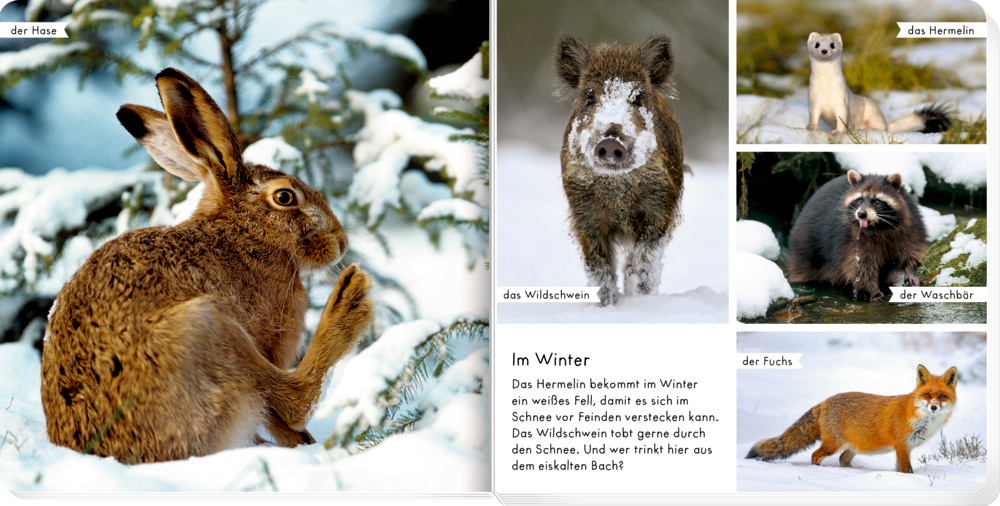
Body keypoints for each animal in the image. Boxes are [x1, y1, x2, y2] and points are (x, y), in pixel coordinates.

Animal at [40, 68, 374, 463]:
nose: (341, 243)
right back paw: (350, 302)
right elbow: (281, 410)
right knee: (293, 396)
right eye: (284, 197)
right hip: (209, 328)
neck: (247, 232)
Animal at [746, 364, 957, 474]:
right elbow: (907, 470)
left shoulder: (905, 448)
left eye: (942, 396)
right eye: (927, 395)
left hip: (851, 447)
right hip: (834, 444)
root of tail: (823, 402)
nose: (933, 407)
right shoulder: (902, 446)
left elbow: (902, 470)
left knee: (841, 459)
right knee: (815, 455)